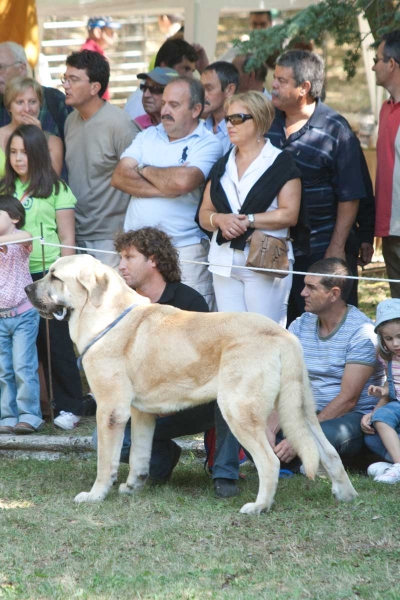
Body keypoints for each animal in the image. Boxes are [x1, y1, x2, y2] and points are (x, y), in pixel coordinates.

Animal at [26, 255, 358, 512]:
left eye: (55, 276)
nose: (28, 287)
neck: (105, 315)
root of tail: (283, 334)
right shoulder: (140, 413)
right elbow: (138, 455)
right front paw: (133, 486)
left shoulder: (110, 411)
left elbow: (105, 462)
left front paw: (95, 495)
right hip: (299, 410)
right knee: (329, 451)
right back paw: (346, 495)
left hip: (236, 407)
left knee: (270, 462)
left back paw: (259, 506)